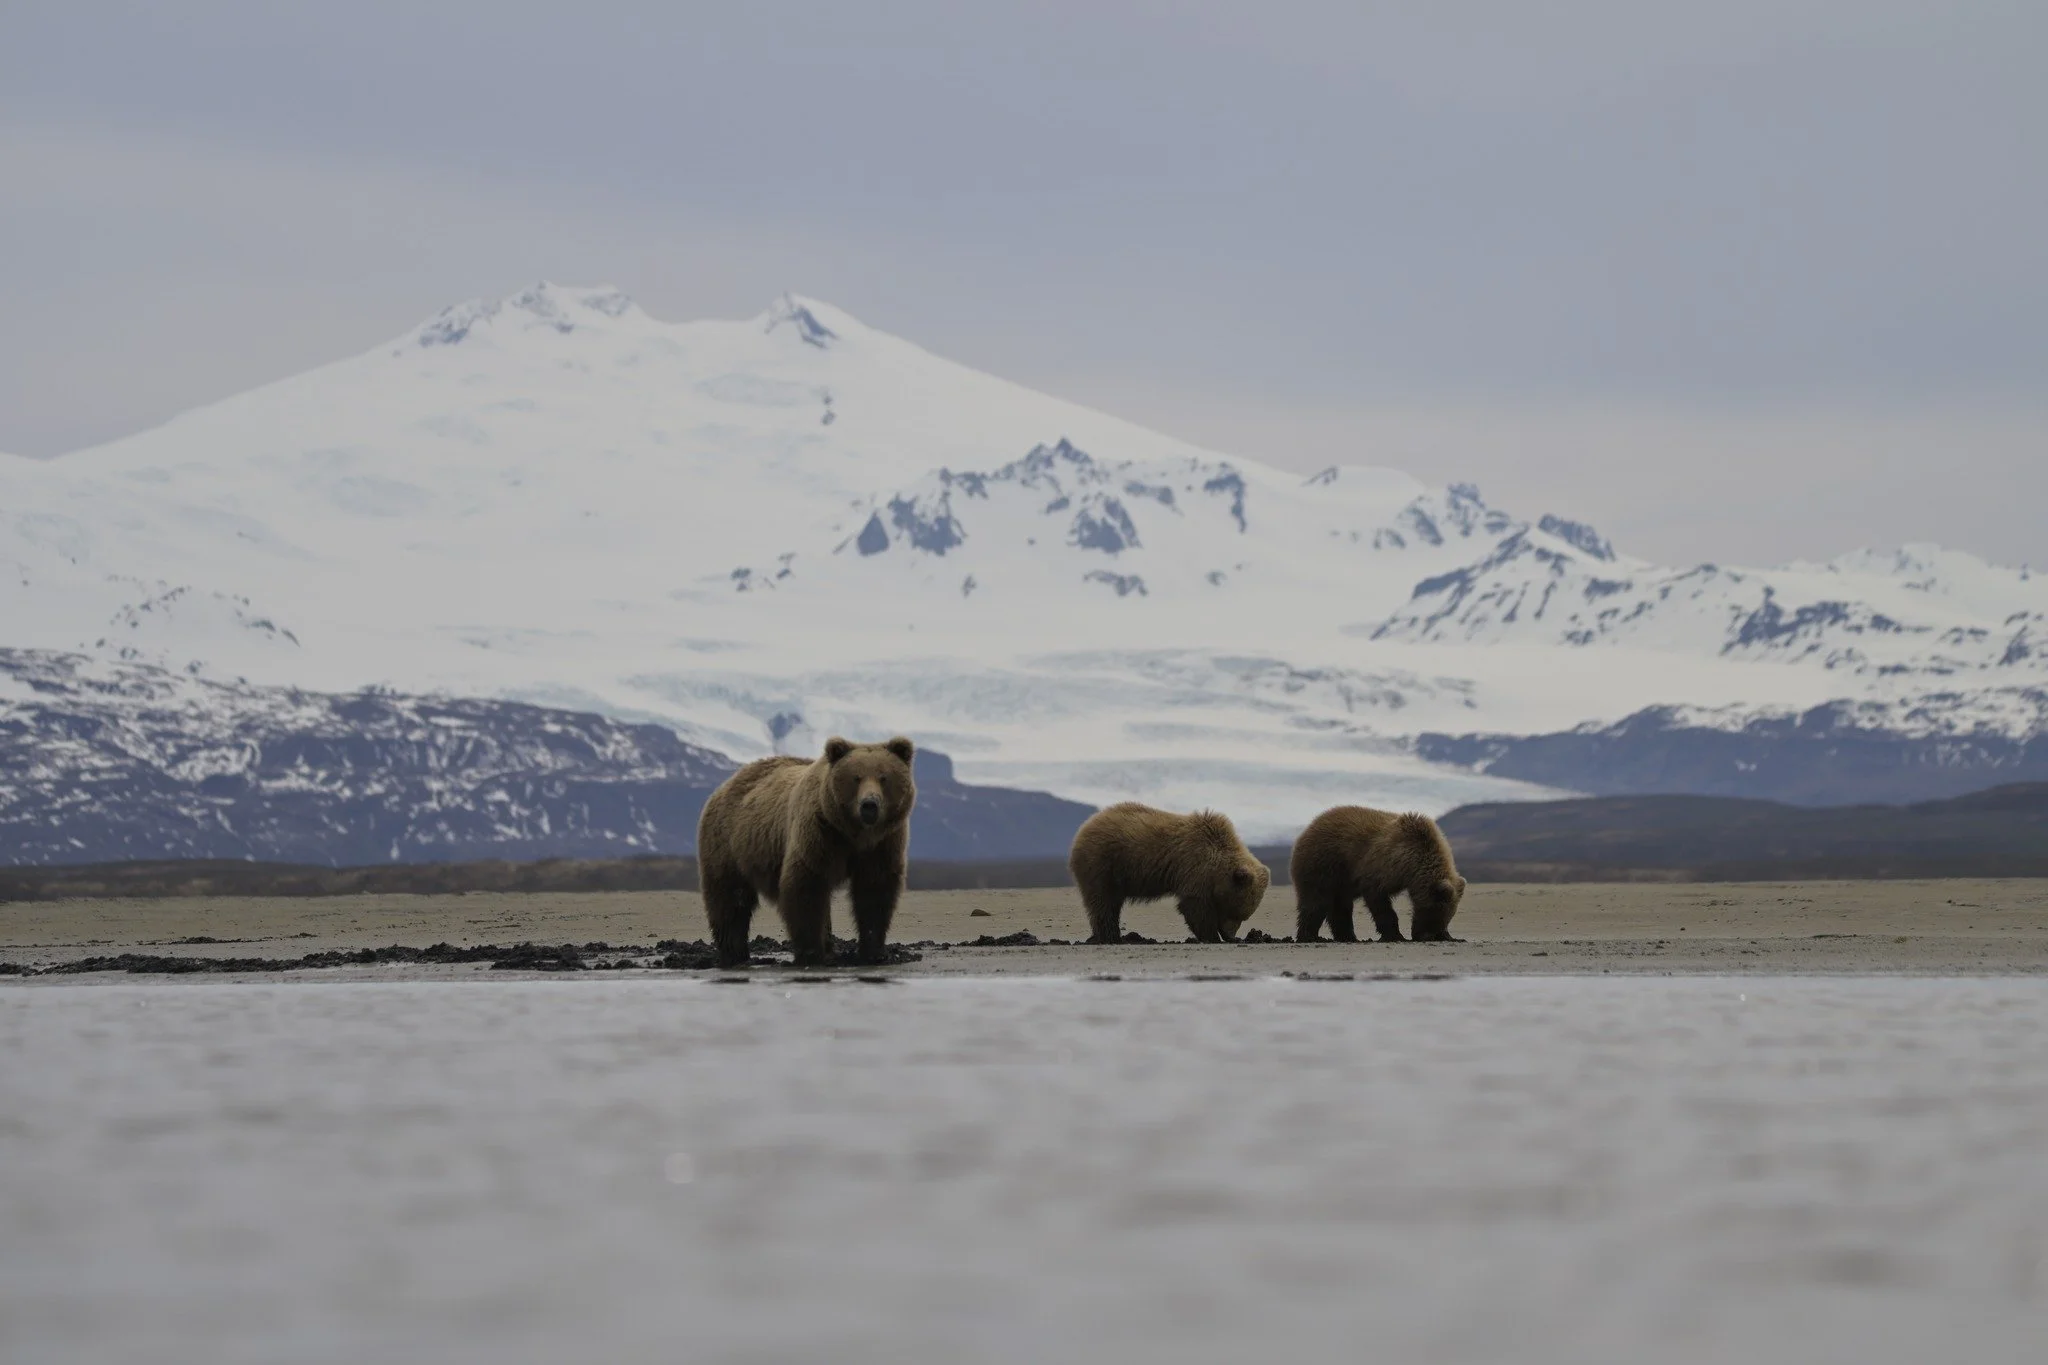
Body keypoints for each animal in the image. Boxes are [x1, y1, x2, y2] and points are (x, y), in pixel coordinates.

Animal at [695, 736, 916, 968]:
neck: (854, 833)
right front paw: (811, 953)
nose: (869, 805)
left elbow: (874, 891)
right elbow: (807, 886)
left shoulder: (882, 843)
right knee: (730, 898)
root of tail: (726, 783)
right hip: (728, 843)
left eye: (884, 777)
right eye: (856, 778)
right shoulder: (819, 833)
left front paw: (874, 953)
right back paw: (734, 953)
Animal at [1068, 802, 1271, 943]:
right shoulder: (1195, 868)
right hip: (1102, 862)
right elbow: (1194, 907)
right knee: (1103, 901)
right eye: (1235, 912)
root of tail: (1086, 824)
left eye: (1244, 916)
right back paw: (1111, 937)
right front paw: (1211, 936)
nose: (1231, 935)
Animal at [1289, 806, 1467, 943]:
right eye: (1432, 912)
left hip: (1341, 880)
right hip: (1323, 864)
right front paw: (1395, 935)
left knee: (1340, 906)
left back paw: (1348, 937)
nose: (1424, 936)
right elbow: (1379, 900)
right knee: (1316, 902)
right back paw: (1309, 936)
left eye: (1447, 916)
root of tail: (1309, 827)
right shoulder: (1383, 866)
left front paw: (1450, 936)